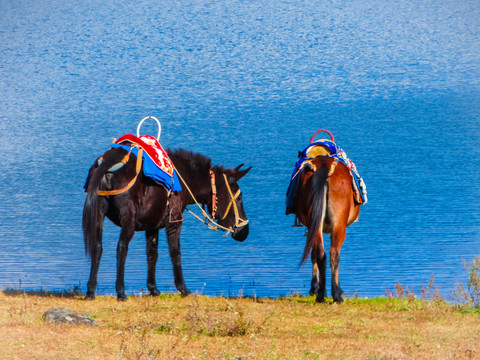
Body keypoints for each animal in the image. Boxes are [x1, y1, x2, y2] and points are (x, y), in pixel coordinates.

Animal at [82, 145, 251, 300]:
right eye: (239, 197)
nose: (244, 232)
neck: (185, 180)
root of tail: (108, 162)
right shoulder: (174, 221)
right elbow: (175, 253)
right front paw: (183, 289)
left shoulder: (152, 225)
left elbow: (152, 254)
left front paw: (153, 289)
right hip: (128, 220)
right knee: (122, 248)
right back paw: (121, 292)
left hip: (98, 215)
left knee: (97, 247)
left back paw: (90, 290)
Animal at [290, 143, 362, 304]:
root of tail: (323, 165)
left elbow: (313, 255)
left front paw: (315, 288)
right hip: (338, 224)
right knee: (334, 253)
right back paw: (335, 294)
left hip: (317, 224)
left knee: (322, 254)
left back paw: (322, 295)